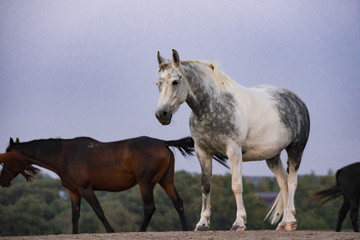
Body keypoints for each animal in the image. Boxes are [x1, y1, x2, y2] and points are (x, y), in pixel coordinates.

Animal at [0, 136, 204, 233]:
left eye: (6, 159)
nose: (2, 181)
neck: (65, 155)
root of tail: (163, 143)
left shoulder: (85, 189)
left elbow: (99, 211)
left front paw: (111, 231)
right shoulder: (74, 192)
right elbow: (75, 216)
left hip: (145, 183)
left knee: (149, 207)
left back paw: (139, 231)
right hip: (166, 181)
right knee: (178, 203)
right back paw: (185, 230)